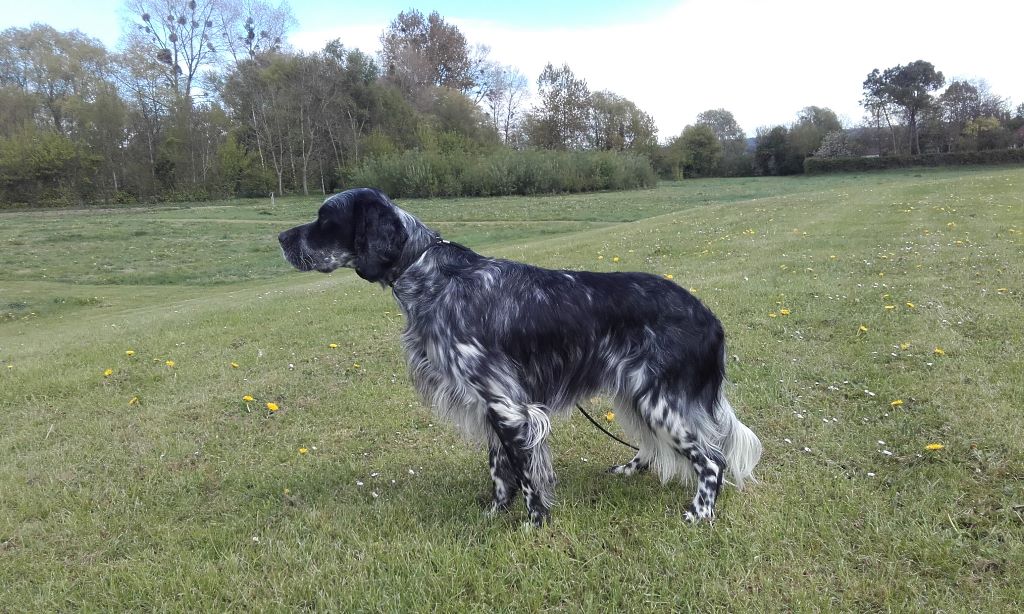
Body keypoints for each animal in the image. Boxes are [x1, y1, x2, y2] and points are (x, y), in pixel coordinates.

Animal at [280, 187, 761, 521]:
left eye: (325, 217)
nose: (281, 237)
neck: (430, 275)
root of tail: (708, 316)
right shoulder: (488, 404)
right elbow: (499, 472)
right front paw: (495, 515)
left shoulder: (508, 405)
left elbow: (526, 474)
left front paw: (534, 523)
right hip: (635, 394)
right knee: (656, 447)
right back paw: (630, 469)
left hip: (658, 399)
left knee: (712, 460)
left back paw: (699, 515)